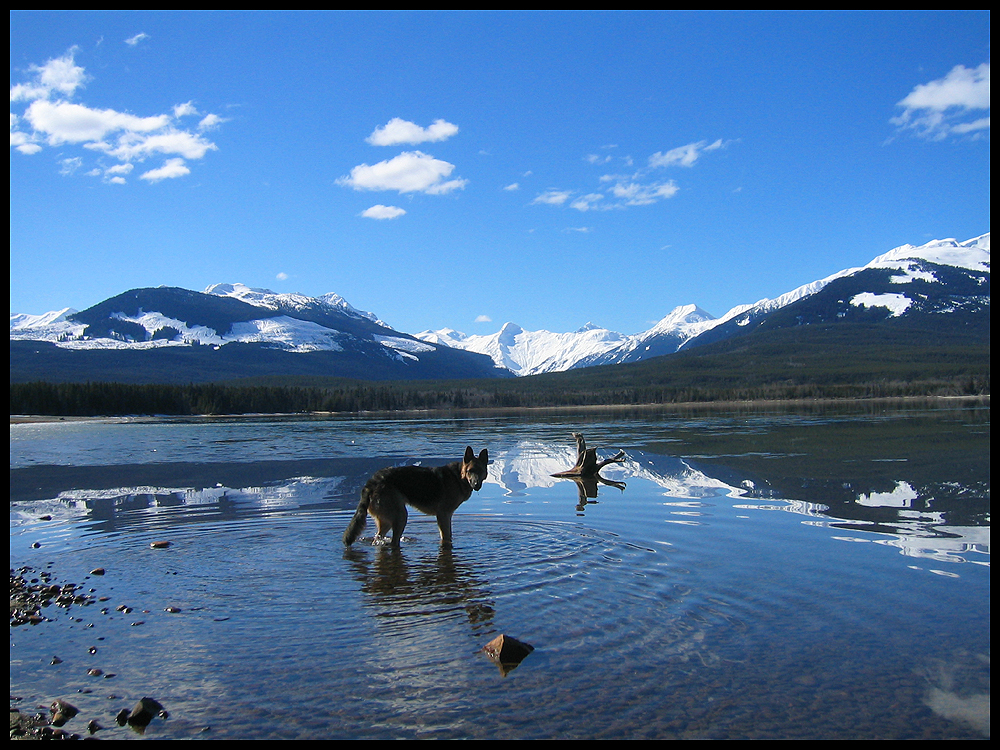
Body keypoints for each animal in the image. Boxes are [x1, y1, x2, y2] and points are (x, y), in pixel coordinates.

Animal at [344, 446, 488, 548]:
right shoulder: (443, 515)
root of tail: (372, 482)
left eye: (480, 471)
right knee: (393, 542)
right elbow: (446, 537)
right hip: (401, 517)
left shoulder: (446, 516)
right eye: (470, 471)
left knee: (378, 539)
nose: (476, 485)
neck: (459, 477)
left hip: (387, 522)